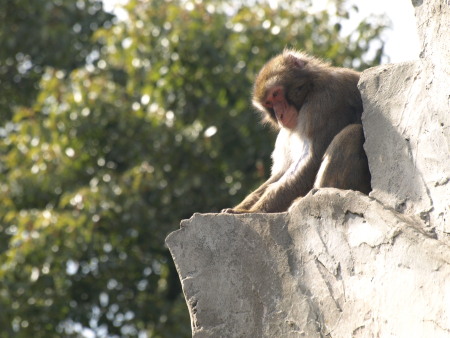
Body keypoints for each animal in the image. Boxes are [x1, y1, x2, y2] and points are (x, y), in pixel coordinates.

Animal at [221, 49, 370, 214]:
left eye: (276, 94)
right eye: (269, 103)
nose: (280, 114)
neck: (311, 87)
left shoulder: (323, 104)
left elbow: (311, 160)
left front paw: (253, 211)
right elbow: (283, 171)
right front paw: (241, 207)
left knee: (352, 132)